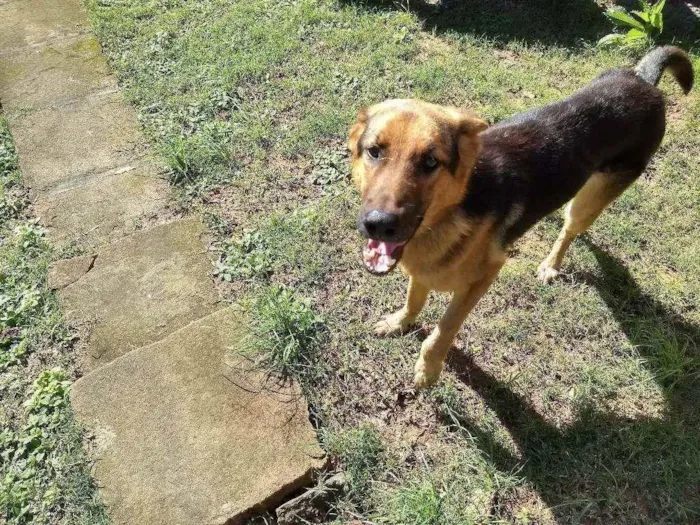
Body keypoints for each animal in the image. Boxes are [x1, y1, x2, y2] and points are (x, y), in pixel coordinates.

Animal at [350, 47, 696, 386]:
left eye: (431, 162)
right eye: (375, 151)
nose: (379, 225)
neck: (457, 207)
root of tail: (644, 81)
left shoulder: (483, 278)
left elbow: (445, 327)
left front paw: (429, 367)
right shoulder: (421, 269)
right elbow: (414, 299)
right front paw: (400, 322)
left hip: (591, 199)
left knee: (570, 229)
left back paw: (551, 264)